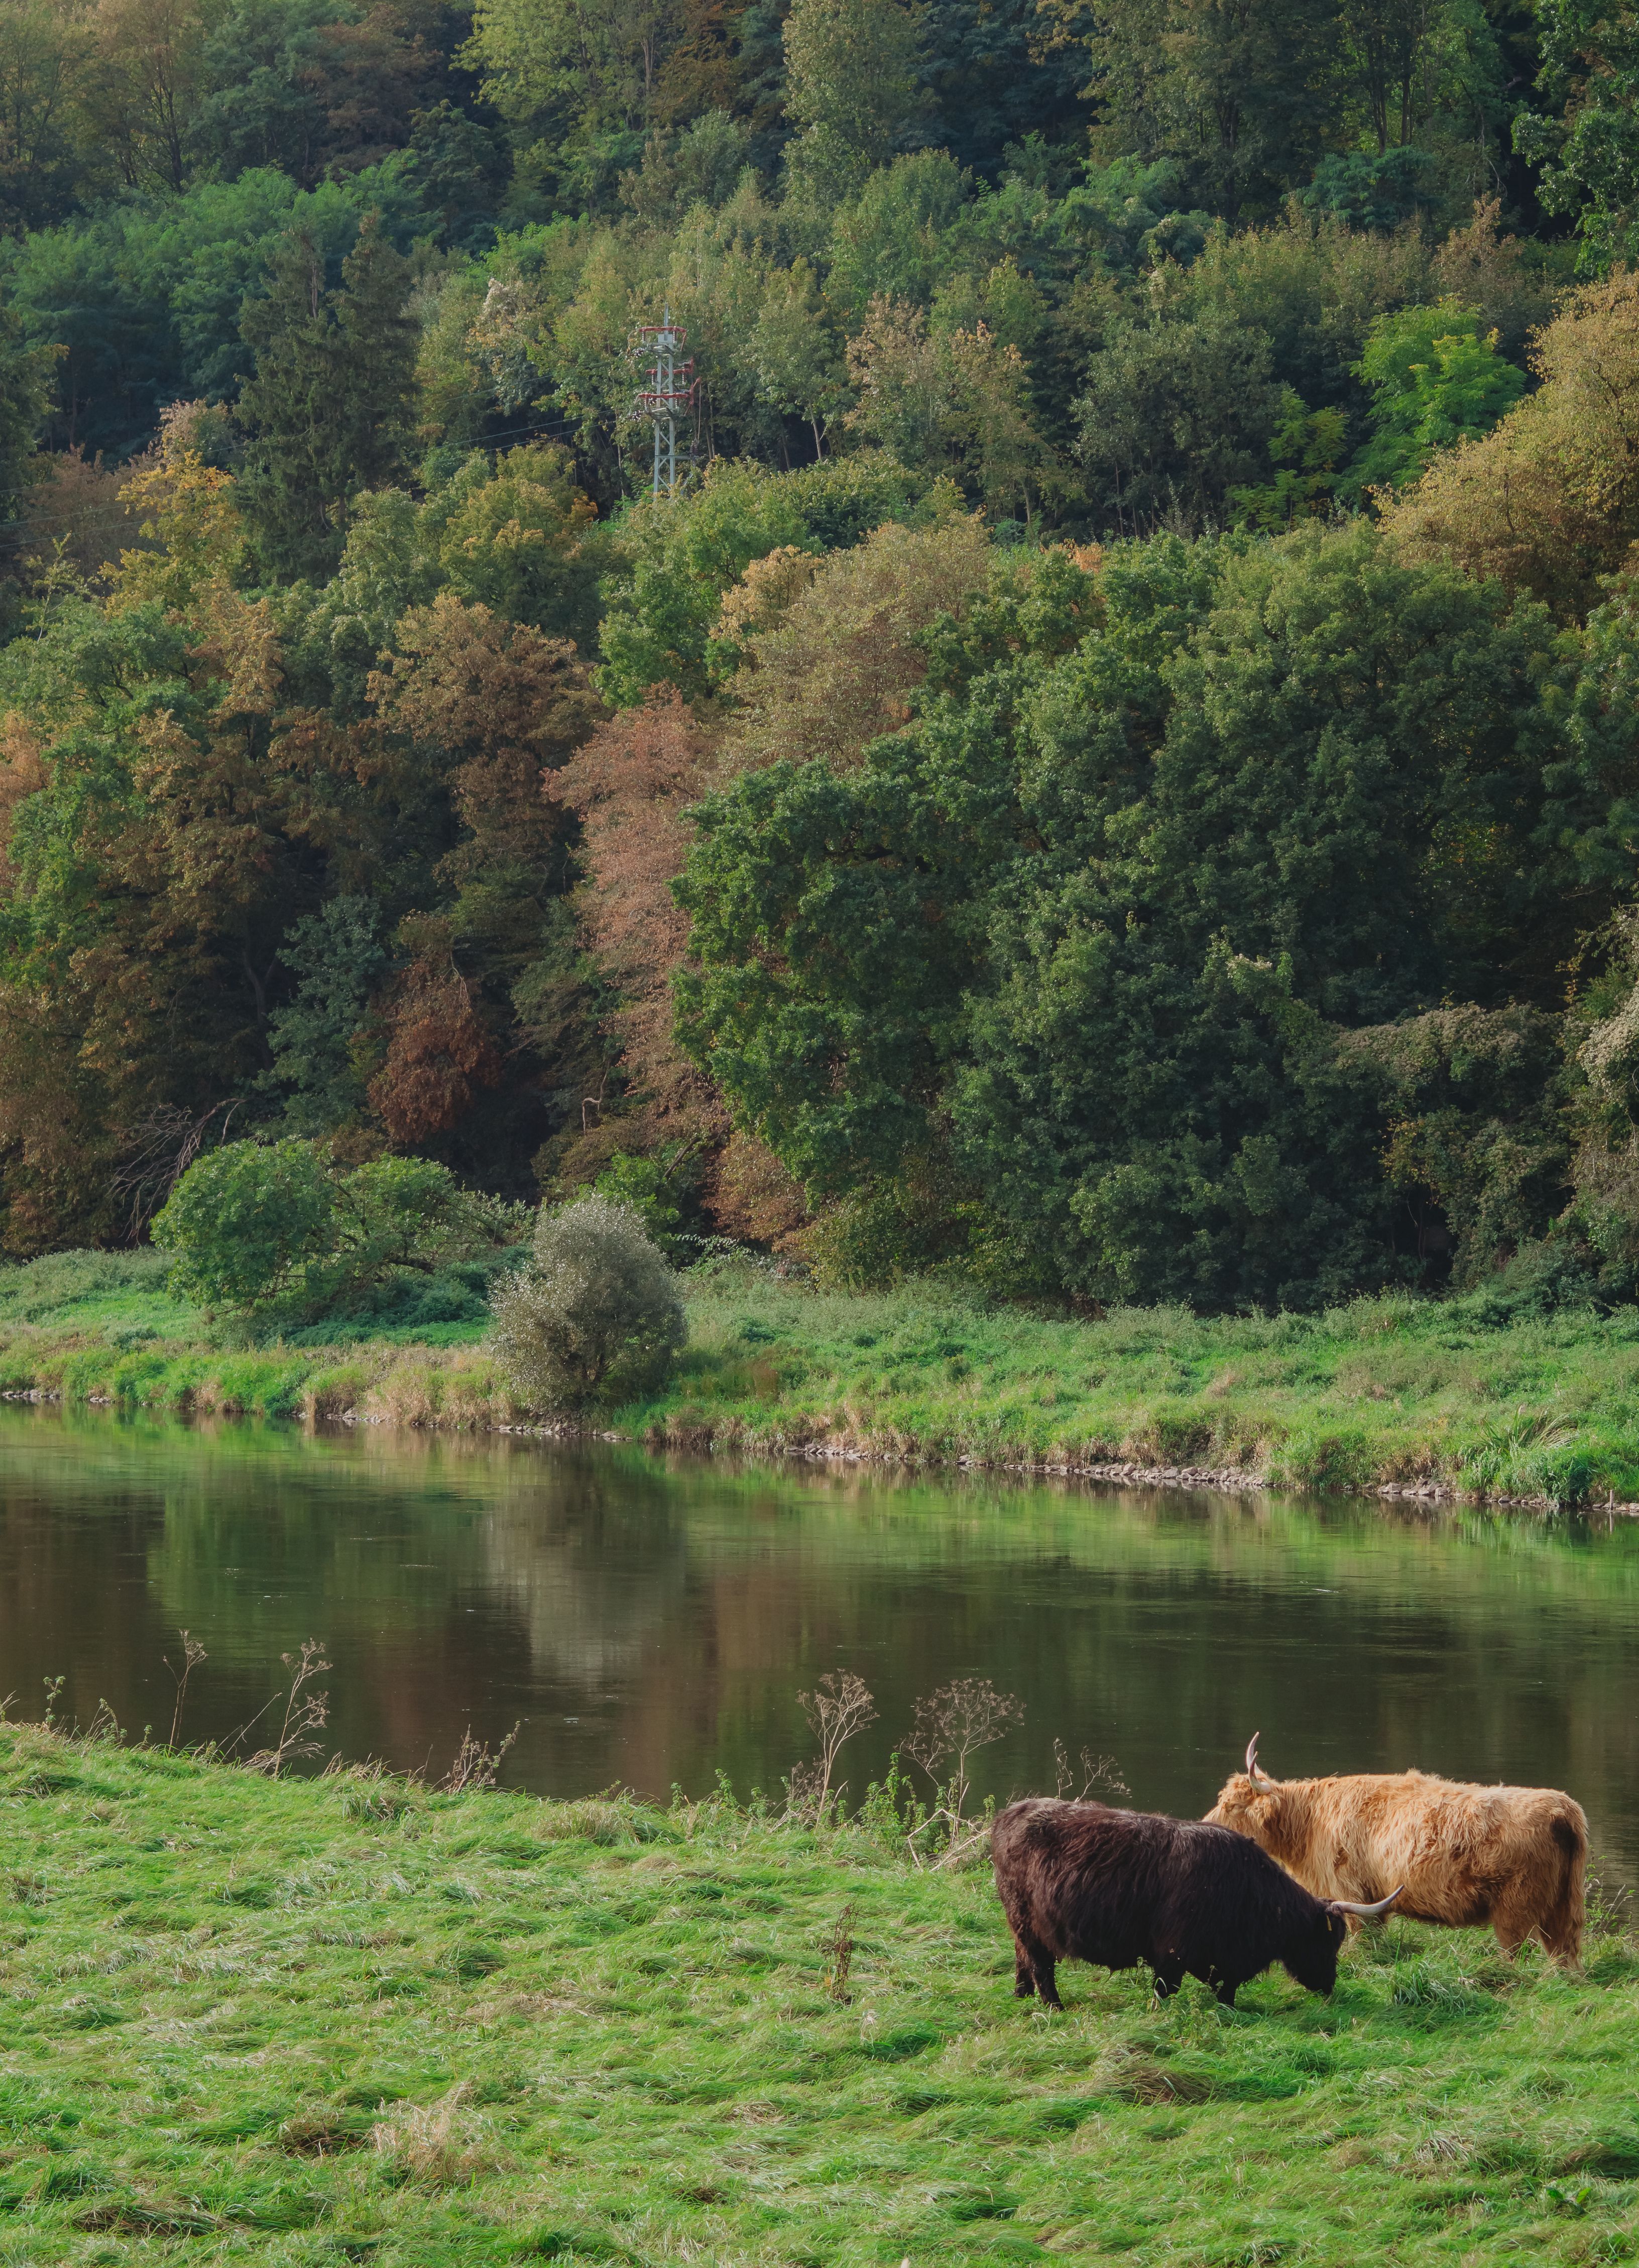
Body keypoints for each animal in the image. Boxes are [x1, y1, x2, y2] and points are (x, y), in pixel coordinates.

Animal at [991, 1796, 1400, 2011]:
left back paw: (1021, 1996)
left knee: (1022, 1959)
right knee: (1041, 1966)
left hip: (1021, 1926)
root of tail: (1013, 1811)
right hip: (1030, 1925)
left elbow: (1226, 1992)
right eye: (1329, 1940)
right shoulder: (1172, 1952)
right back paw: (1054, 2007)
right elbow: (1165, 1989)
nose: (1330, 1984)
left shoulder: (1223, 1961)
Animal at [1207, 1735, 1588, 1967]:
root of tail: (1561, 1809)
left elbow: (1359, 1940)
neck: (1313, 1822)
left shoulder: (1350, 1894)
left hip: (1516, 1910)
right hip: (1565, 1907)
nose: (1205, 1827)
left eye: (1231, 1805)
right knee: (1566, 1958)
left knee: (1517, 1954)